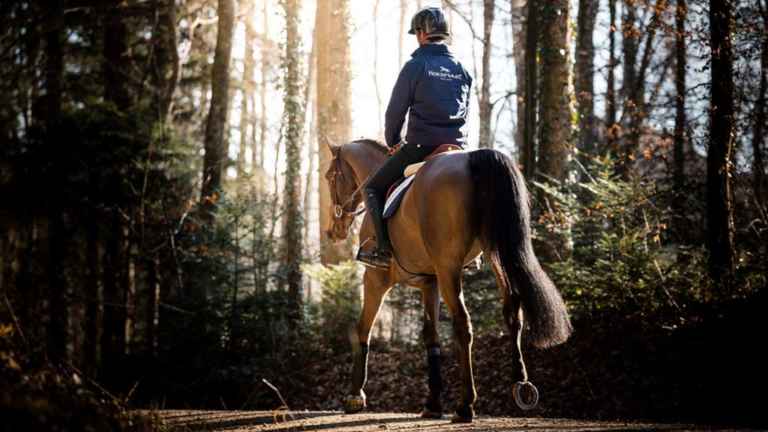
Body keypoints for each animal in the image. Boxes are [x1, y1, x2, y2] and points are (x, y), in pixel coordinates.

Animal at [323, 137, 572, 423]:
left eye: (328, 176)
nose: (333, 231)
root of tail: (473, 158)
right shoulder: (429, 283)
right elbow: (431, 336)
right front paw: (432, 402)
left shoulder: (375, 279)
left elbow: (363, 329)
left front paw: (355, 395)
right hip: (494, 253)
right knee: (512, 311)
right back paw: (521, 384)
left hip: (448, 264)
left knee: (463, 323)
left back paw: (465, 405)